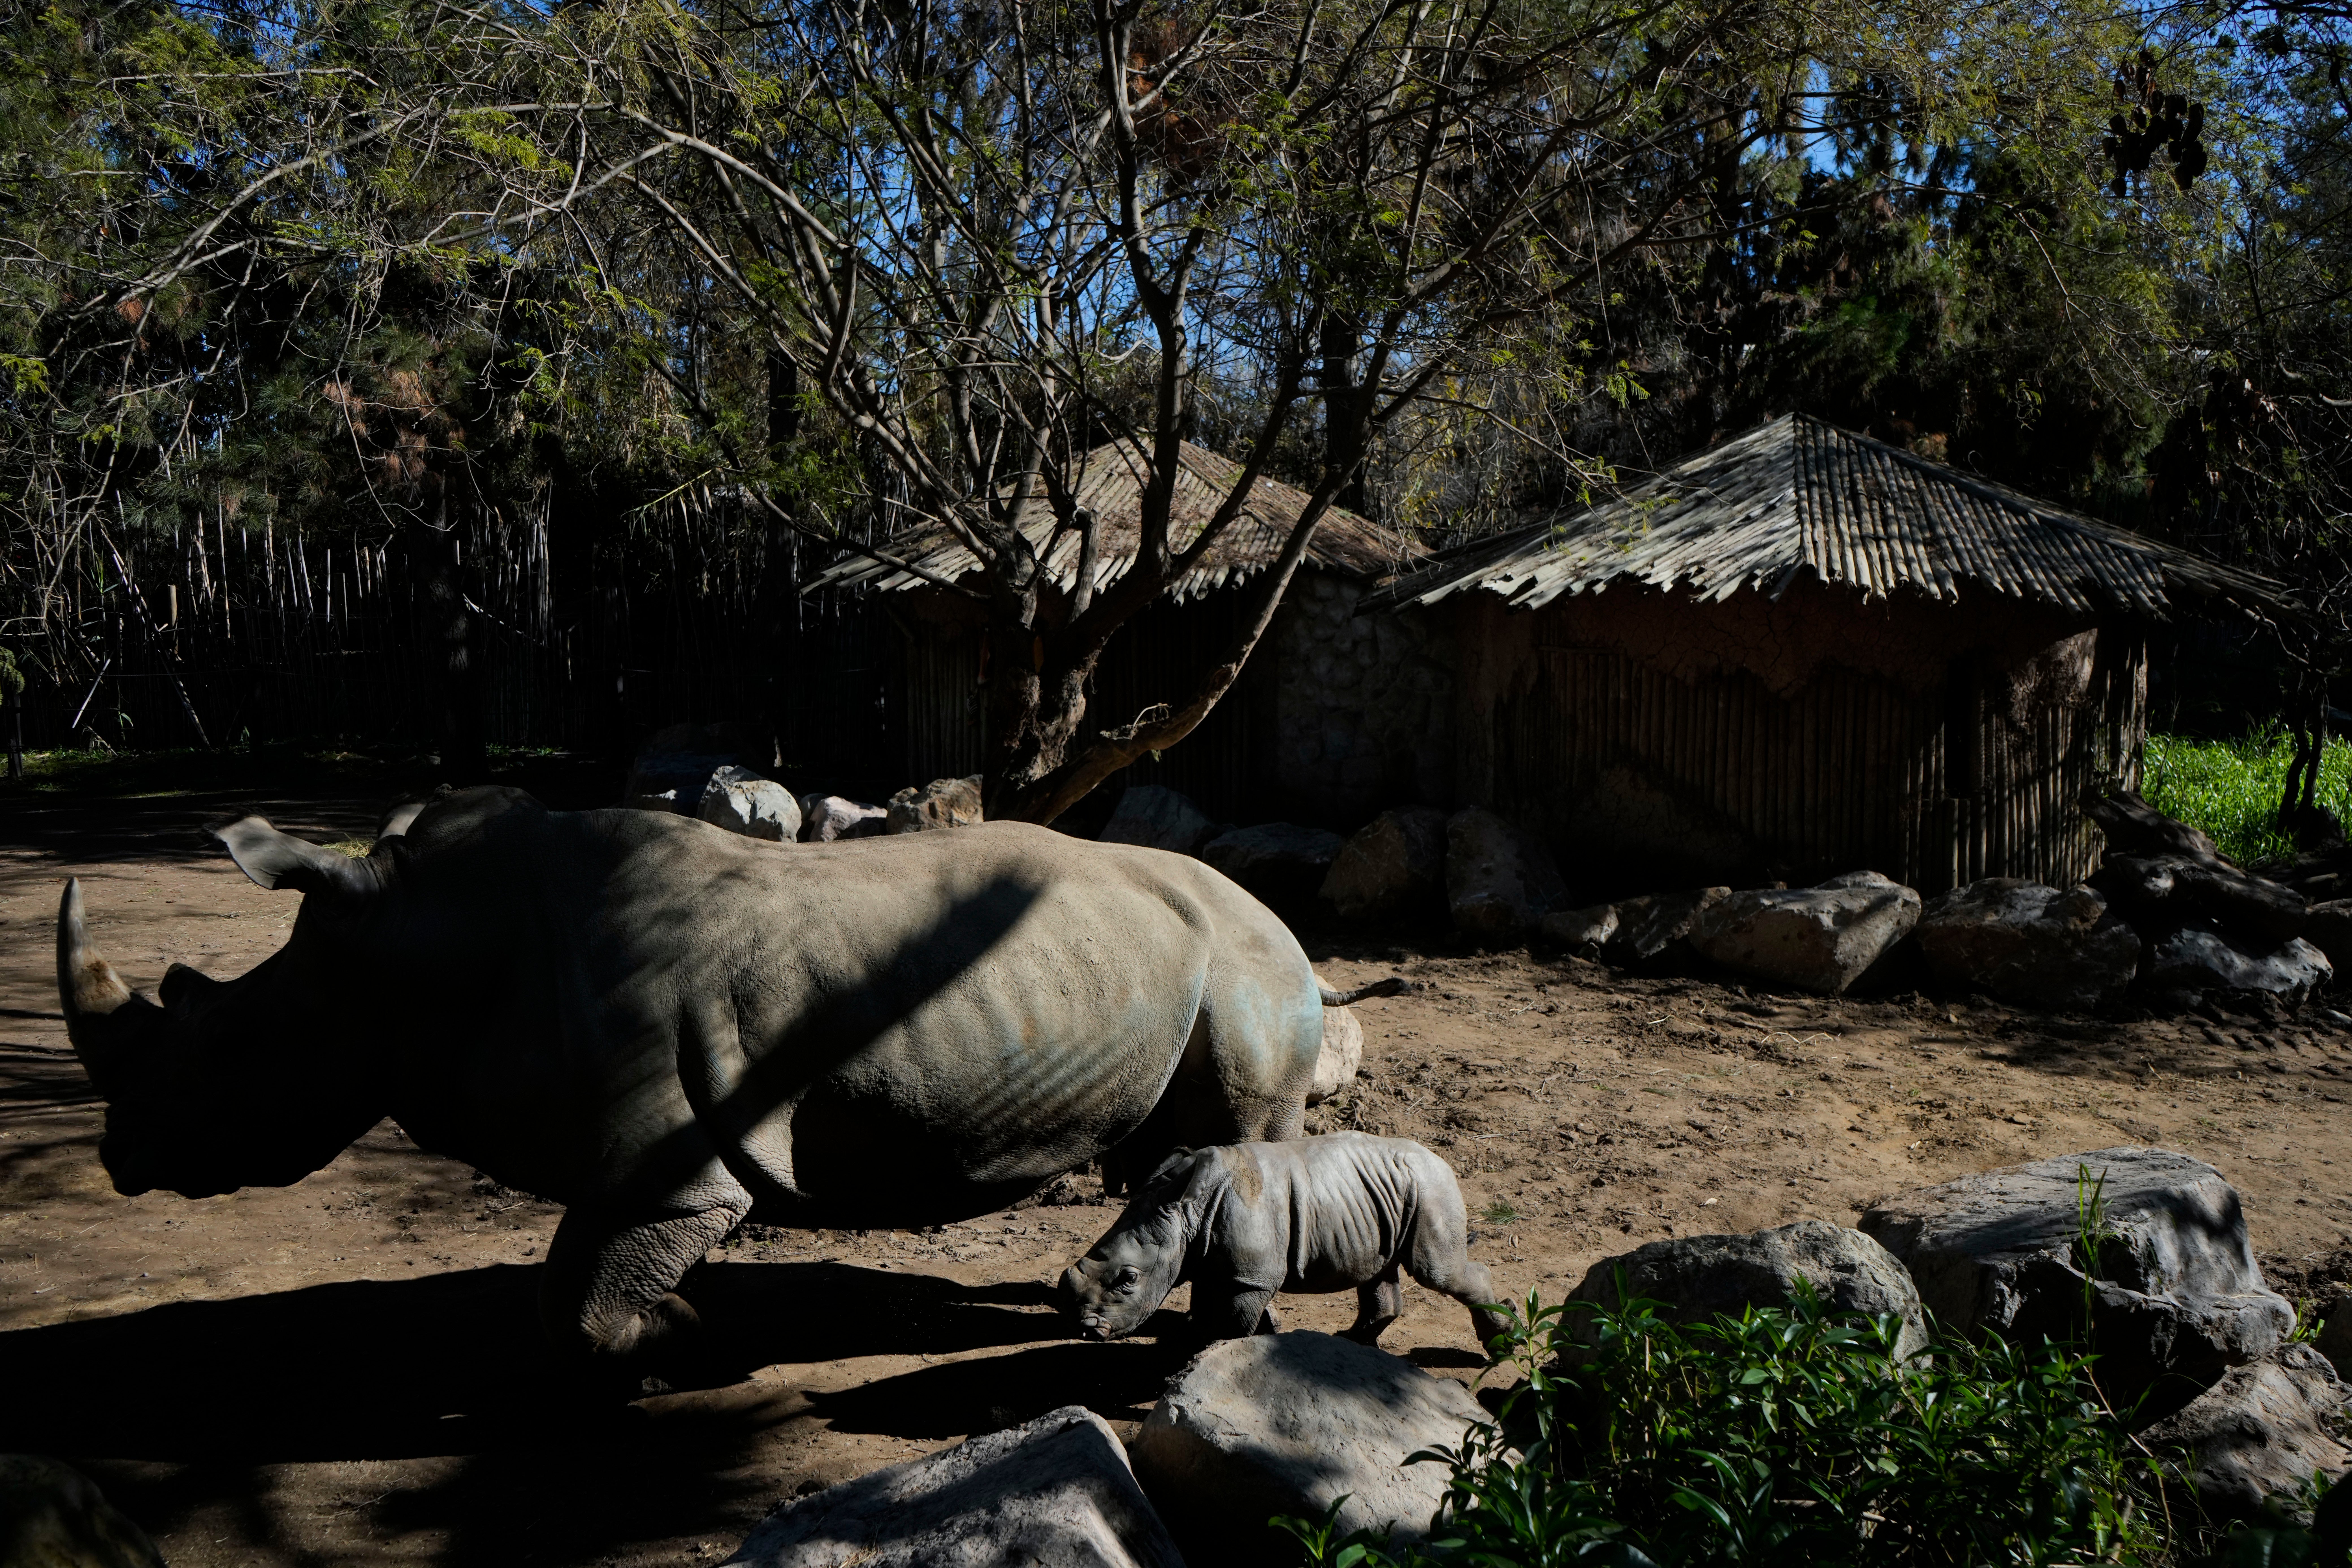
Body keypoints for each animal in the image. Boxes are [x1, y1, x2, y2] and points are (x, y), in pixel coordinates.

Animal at [55, 786, 1399, 1364]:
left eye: (229, 1047)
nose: (118, 1157)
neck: (423, 937)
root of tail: (1286, 924)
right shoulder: (637, 1158)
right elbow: (580, 1272)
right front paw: (689, 1318)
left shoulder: (667, 1167)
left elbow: (583, 1300)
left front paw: (673, 1339)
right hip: (1175, 962)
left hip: (1249, 961)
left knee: (1235, 1132)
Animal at [1060, 1132, 1511, 1347]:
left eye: (1128, 1279)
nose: (1084, 1328)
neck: (1185, 1209)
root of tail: (1441, 1158)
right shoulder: (1215, 1264)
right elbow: (1211, 1310)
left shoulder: (1249, 1277)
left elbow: (1229, 1324)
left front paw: (1208, 1356)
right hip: (1387, 1191)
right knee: (1379, 1267)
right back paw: (1352, 1343)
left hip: (1430, 1187)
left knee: (1435, 1272)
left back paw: (1500, 1340)